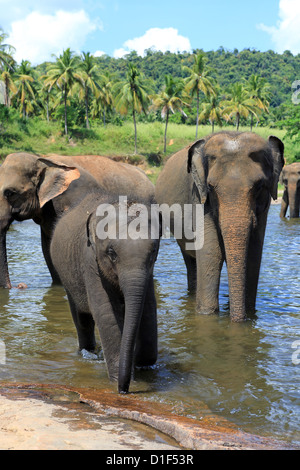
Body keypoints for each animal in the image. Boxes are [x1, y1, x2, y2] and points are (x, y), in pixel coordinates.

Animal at [50, 191, 161, 392]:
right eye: (111, 253)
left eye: (154, 250)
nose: (123, 390)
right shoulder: (90, 262)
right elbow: (106, 313)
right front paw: (122, 380)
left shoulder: (148, 273)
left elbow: (148, 307)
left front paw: (144, 366)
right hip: (67, 278)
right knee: (82, 318)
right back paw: (88, 353)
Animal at [156, 132, 284, 324]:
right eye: (211, 187)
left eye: (259, 186)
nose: (239, 321)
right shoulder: (199, 199)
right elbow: (211, 252)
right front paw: (207, 314)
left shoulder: (264, 208)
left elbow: (254, 255)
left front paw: (249, 314)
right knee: (190, 260)